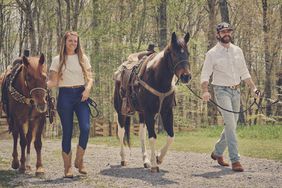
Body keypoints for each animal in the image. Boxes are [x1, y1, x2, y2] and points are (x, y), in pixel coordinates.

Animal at [113, 32, 191, 172]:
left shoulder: (166, 112)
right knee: (121, 133)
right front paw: (155, 164)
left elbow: (171, 136)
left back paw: (145, 161)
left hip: (141, 114)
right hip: (121, 111)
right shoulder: (149, 112)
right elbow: (153, 137)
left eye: (188, 53)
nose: (186, 76)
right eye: (174, 54)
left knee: (141, 134)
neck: (157, 78)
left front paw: (159, 158)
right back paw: (123, 159)